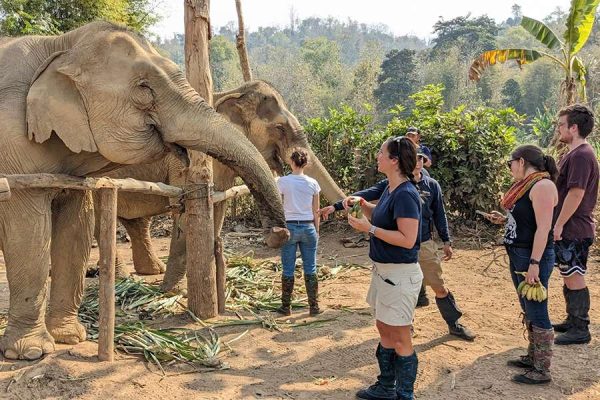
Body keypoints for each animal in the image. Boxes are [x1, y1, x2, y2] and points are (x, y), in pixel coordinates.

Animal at [0, 21, 290, 360]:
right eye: (144, 89)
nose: (277, 234)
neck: (60, 45)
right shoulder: (13, 147)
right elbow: (29, 232)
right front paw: (31, 353)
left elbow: (75, 228)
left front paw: (70, 337)